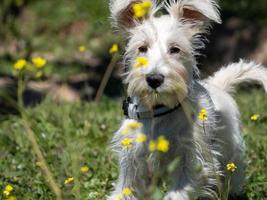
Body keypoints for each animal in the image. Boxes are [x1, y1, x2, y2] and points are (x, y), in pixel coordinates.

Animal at [107, 0, 267, 199]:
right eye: (142, 48)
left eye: (175, 49)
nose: (154, 79)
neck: (159, 111)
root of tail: (218, 85)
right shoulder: (132, 161)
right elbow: (125, 189)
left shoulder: (192, 161)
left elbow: (178, 192)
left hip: (231, 151)